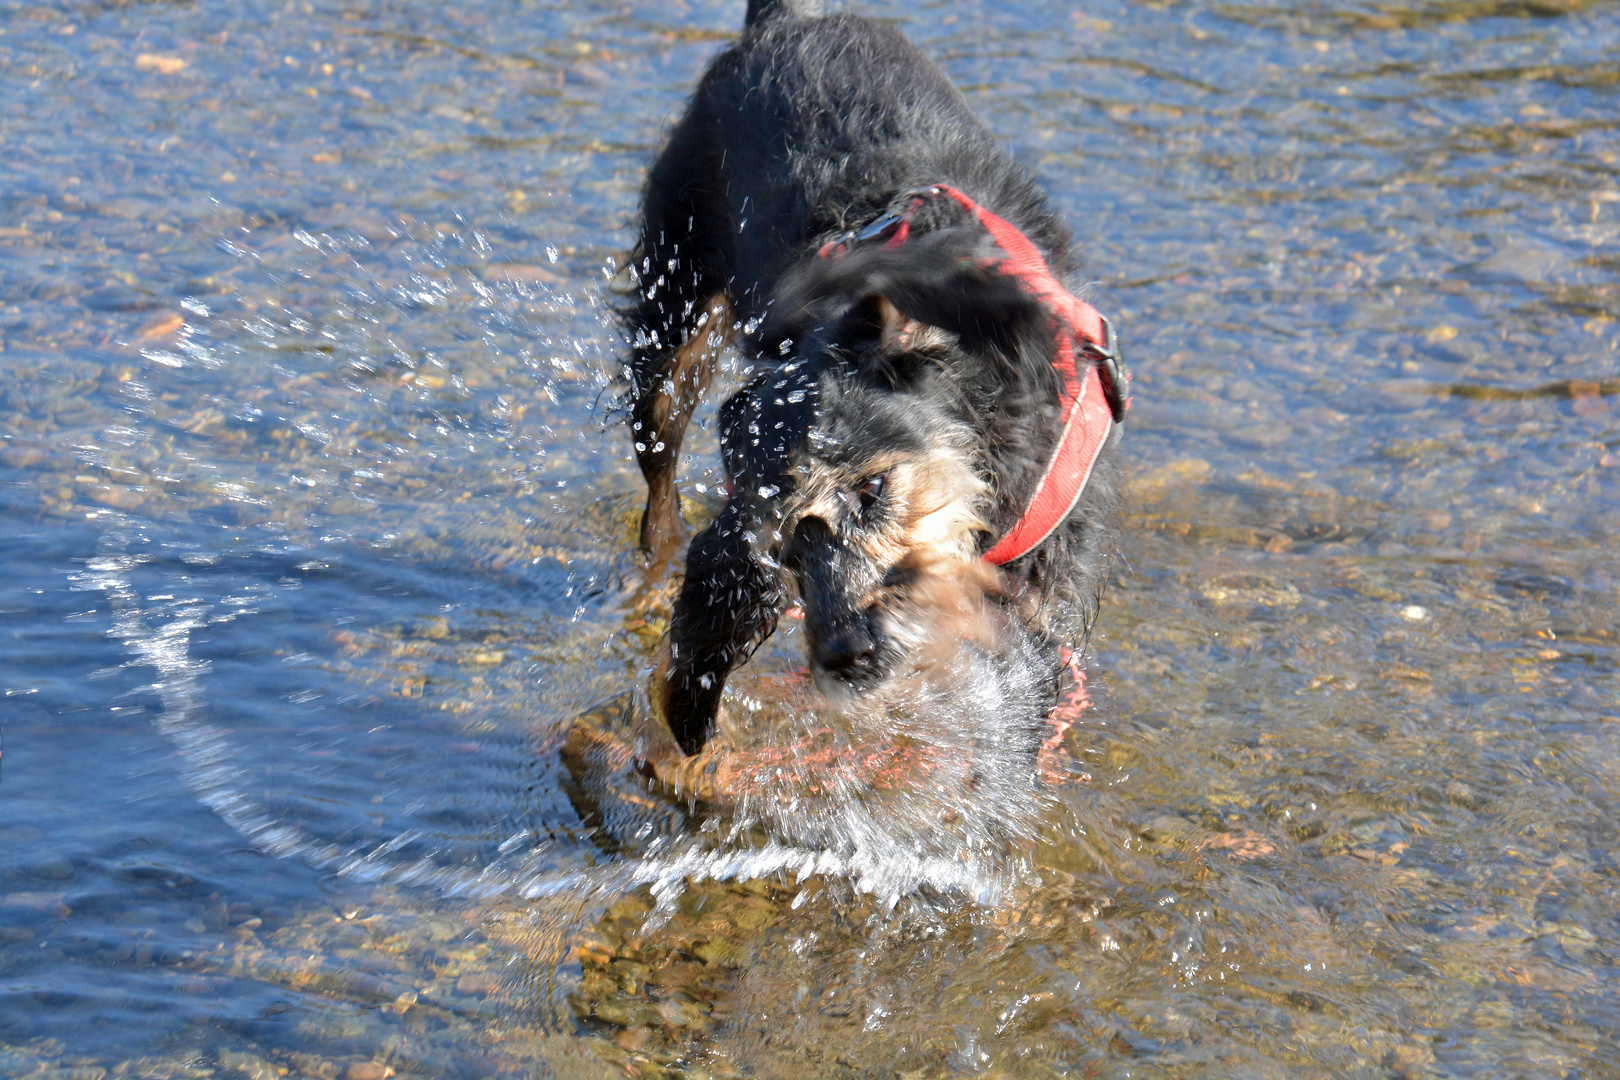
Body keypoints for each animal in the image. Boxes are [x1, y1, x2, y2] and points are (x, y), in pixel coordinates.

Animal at [618, 0, 1127, 761]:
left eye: (875, 487)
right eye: (784, 548)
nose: (847, 652)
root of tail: (786, 22)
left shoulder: (1043, 607)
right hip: (670, 310)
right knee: (659, 473)